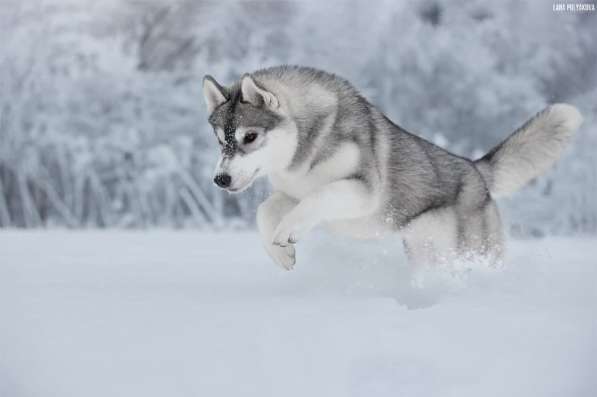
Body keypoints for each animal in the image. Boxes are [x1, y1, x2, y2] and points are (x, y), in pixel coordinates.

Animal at [203, 65, 580, 270]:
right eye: (221, 140)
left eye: (250, 136)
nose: (220, 179)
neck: (304, 149)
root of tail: (476, 170)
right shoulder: (292, 191)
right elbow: (265, 211)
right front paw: (281, 253)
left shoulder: (361, 189)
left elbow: (319, 197)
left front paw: (288, 232)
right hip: (427, 249)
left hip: (468, 248)